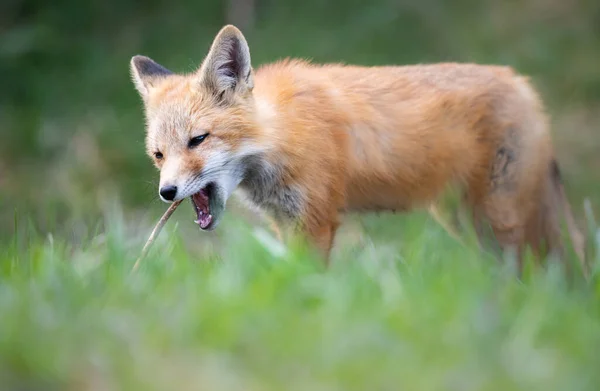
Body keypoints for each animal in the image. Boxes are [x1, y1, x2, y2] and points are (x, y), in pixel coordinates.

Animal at [130, 24, 584, 276]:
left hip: (499, 220)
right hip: (463, 220)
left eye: (198, 140)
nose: (166, 193)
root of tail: (521, 82)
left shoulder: (315, 221)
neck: (282, 135)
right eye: (158, 155)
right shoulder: (285, 222)